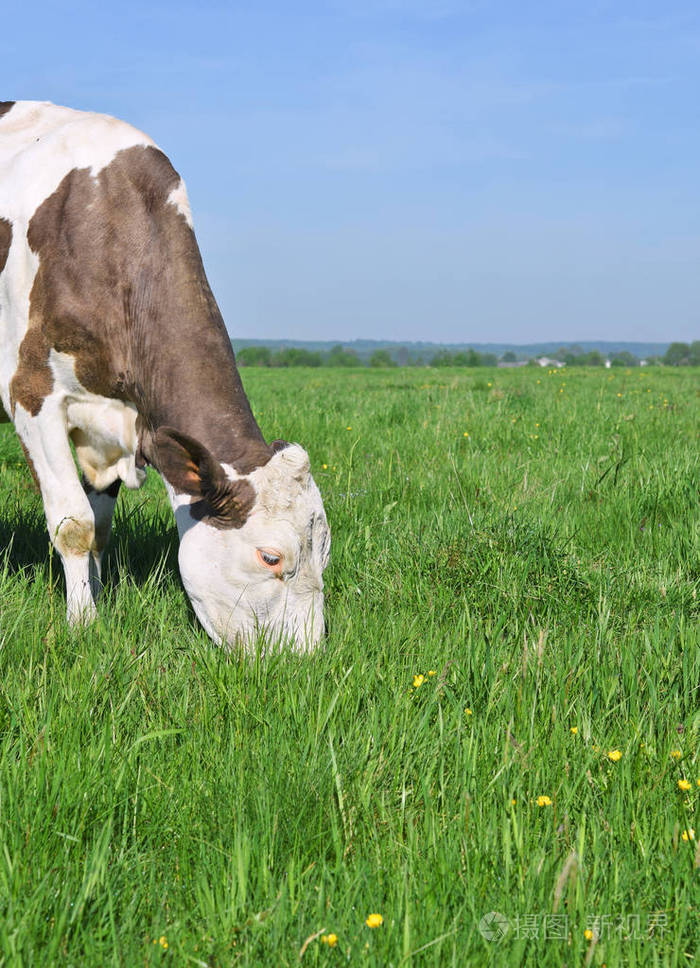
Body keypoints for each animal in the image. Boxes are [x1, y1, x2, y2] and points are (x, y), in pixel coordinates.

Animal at [0, 100, 330, 652]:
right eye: (271, 557)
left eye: (323, 552)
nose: (306, 660)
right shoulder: (32, 394)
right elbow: (74, 524)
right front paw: (83, 624)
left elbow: (101, 527)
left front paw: (99, 598)